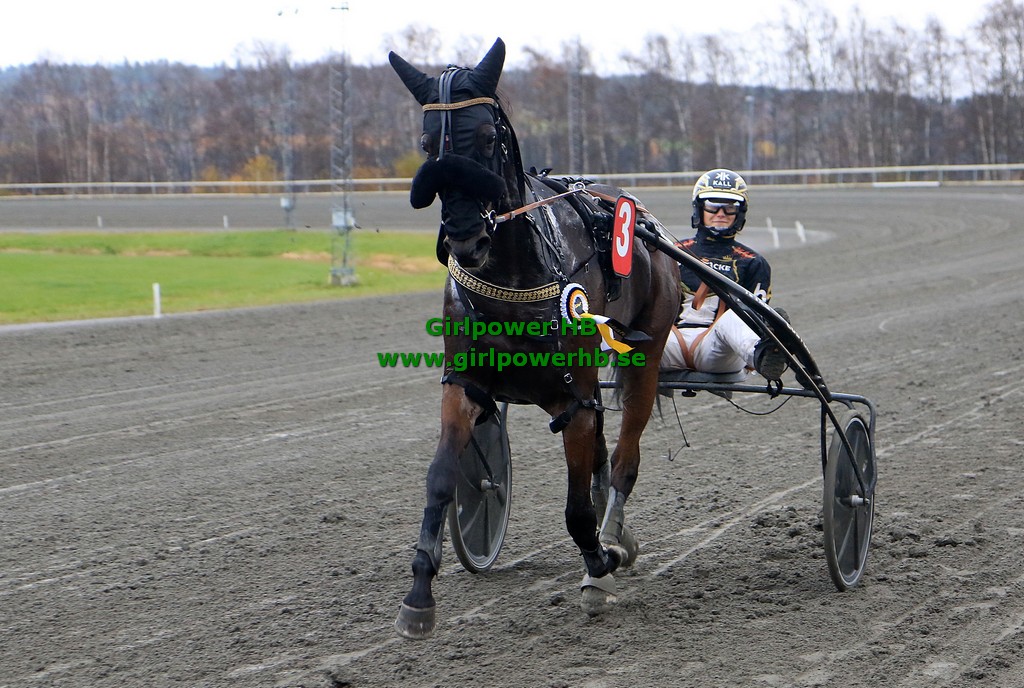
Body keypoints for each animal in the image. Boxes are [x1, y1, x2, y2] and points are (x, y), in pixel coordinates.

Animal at [389, 37, 680, 639]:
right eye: (427, 143)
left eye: (486, 136)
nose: (464, 235)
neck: (513, 274)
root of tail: (639, 215)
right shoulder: (465, 383)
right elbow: (440, 480)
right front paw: (419, 595)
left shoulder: (572, 396)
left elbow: (575, 508)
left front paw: (600, 564)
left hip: (645, 353)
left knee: (623, 456)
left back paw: (614, 536)